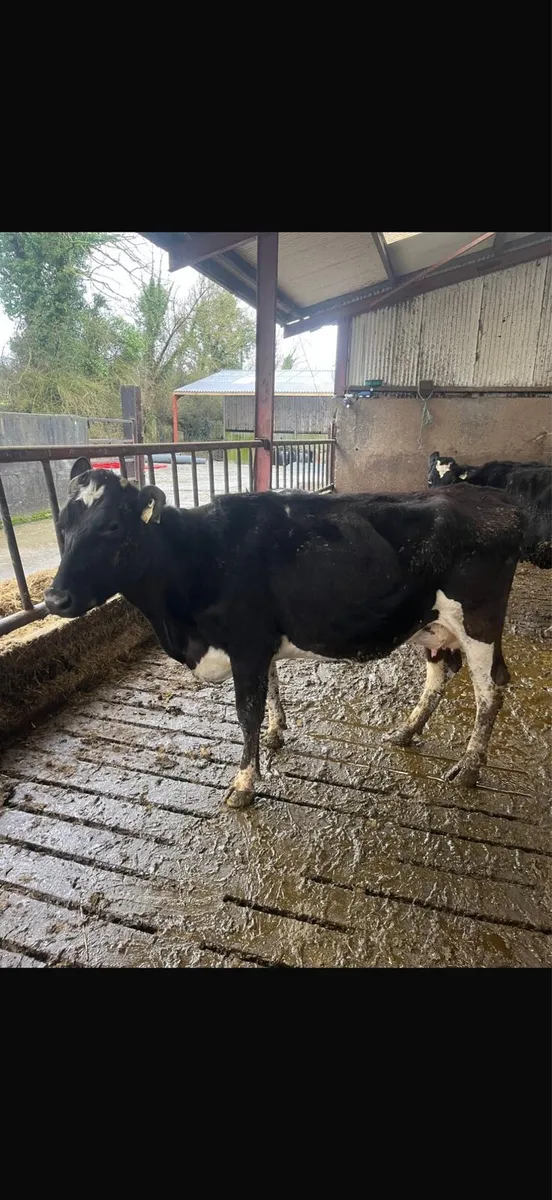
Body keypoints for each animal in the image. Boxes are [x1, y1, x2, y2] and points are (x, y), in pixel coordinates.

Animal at [44, 456, 524, 808]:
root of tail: (492, 497)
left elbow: (246, 714)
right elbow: (272, 690)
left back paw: (469, 769)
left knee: (491, 688)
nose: (54, 599)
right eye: (62, 526)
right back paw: (406, 733)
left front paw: (243, 784)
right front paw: (276, 735)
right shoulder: (261, 645)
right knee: (440, 673)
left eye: (111, 526)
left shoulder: (247, 644)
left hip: (478, 620)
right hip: (434, 623)